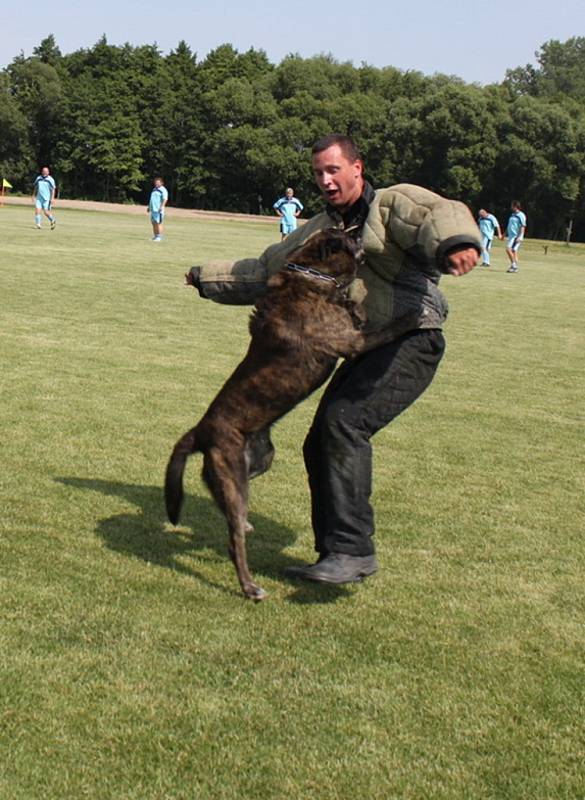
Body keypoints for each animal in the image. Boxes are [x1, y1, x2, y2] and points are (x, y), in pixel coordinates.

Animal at [164, 228, 420, 596]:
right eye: (345, 237)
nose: (357, 230)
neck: (310, 277)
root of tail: (201, 429)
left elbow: (358, 309)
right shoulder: (353, 342)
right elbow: (388, 328)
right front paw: (415, 316)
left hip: (257, 461)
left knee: (223, 502)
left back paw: (244, 524)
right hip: (234, 476)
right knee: (233, 541)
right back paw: (250, 587)